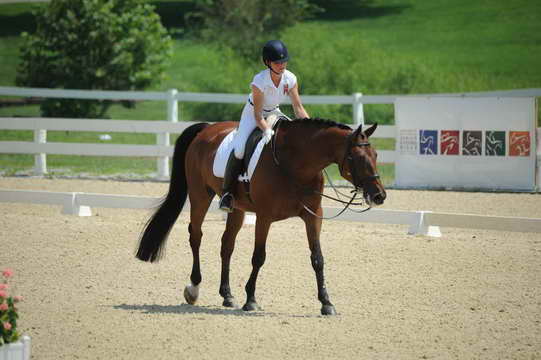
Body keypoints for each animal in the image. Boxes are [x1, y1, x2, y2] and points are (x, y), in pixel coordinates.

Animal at [137, 117, 386, 316]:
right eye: (356, 157)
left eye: (375, 155)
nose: (379, 196)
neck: (295, 165)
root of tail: (207, 128)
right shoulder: (265, 216)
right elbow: (259, 256)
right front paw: (251, 300)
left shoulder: (313, 216)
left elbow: (318, 258)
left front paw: (326, 303)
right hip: (200, 196)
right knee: (196, 235)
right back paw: (193, 288)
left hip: (236, 209)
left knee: (226, 245)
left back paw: (227, 295)